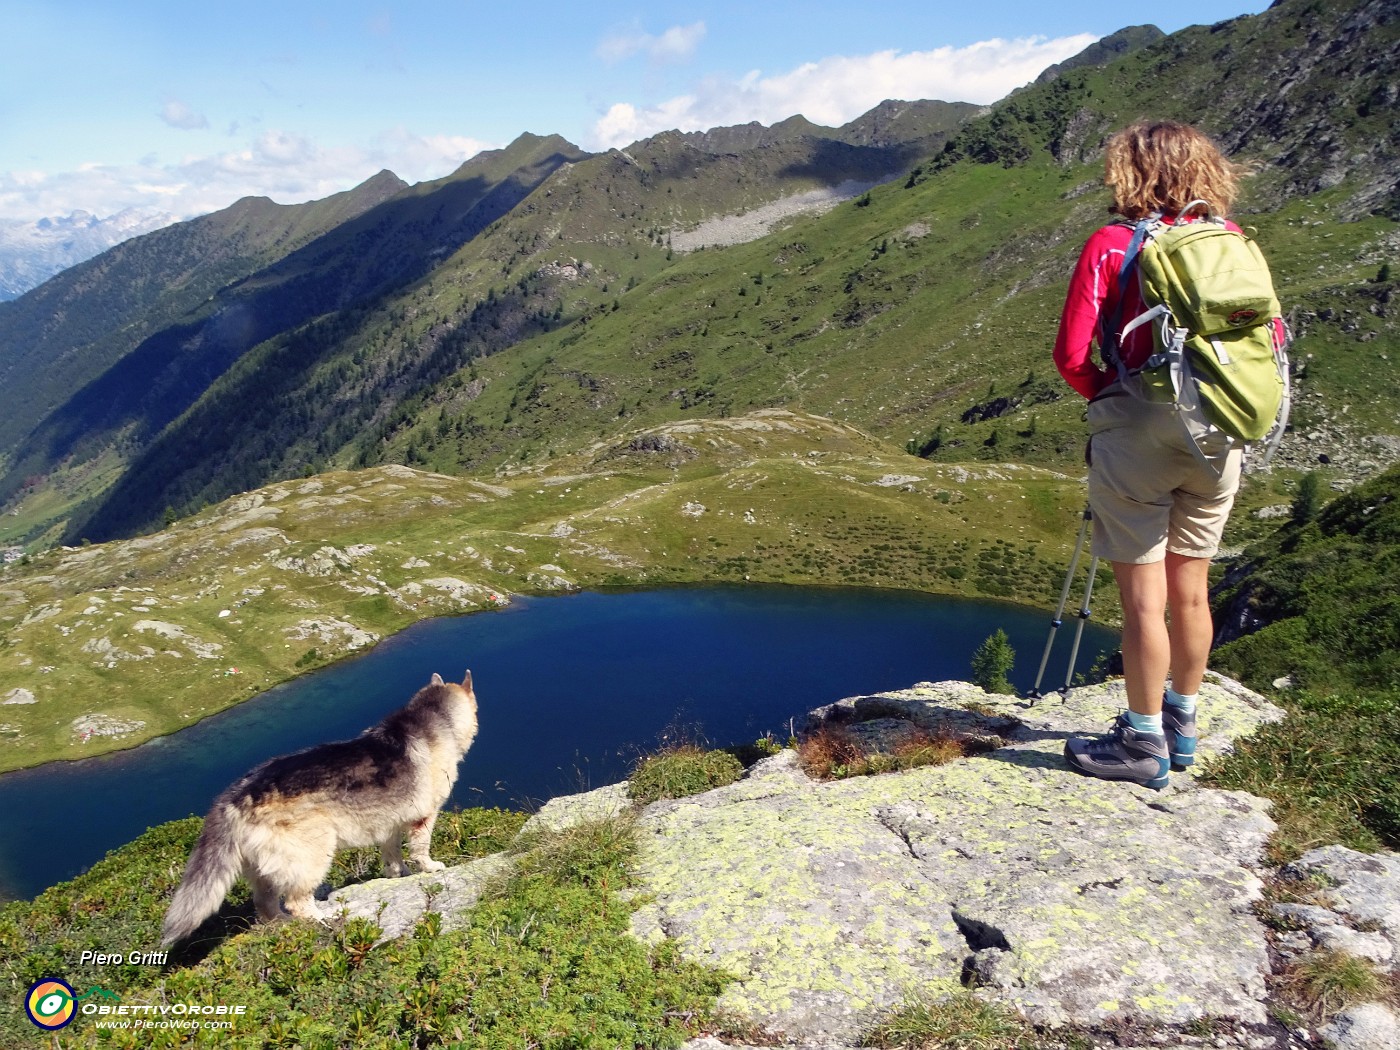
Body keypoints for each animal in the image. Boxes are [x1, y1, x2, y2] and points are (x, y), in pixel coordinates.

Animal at [161, 677, 478, 952]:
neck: (435, 719)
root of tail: (234, 796)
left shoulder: (389, 826)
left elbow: (392, 855)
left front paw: (398, 874)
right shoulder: (423, 818)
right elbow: (420, 848)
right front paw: (430, 867)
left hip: (261, 868)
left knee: (264, 904)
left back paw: (282, 925)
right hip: (312, 854)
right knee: (297, 901)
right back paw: (322, 919)